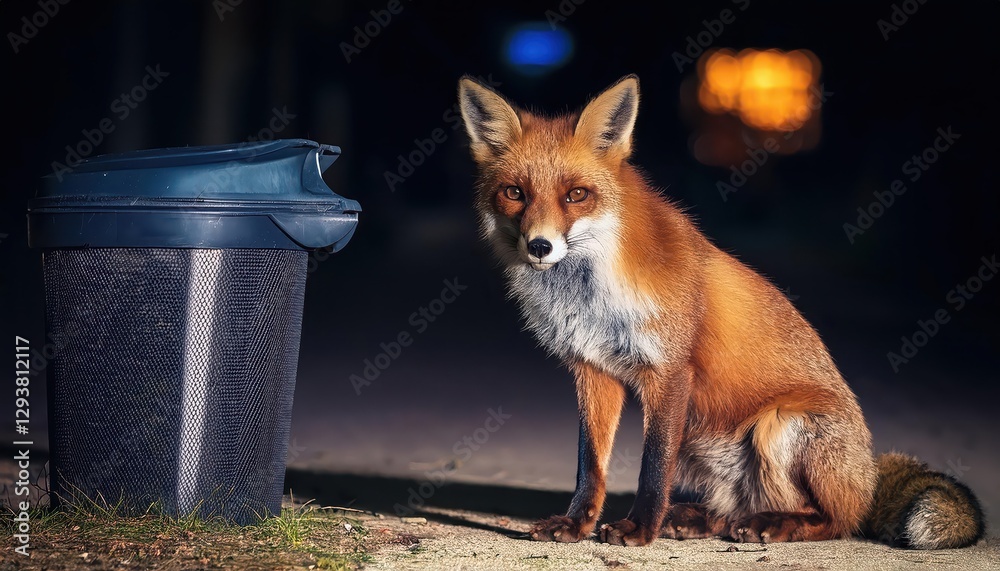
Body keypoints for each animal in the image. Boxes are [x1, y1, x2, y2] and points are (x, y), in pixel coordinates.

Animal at [457, 74, 985, 549]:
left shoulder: (670, 370)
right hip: (702, 443)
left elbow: (652, 468)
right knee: (731, 511)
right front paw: (576, 525)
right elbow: (591, 465)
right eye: (515, 193)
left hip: (778, 425)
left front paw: (640, 530)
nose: (539, 246)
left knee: (832, 520)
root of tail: (868, 478)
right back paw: (698, 520)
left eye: (576, 195)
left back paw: (771, 525)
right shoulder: (593, 369)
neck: (589, 293)